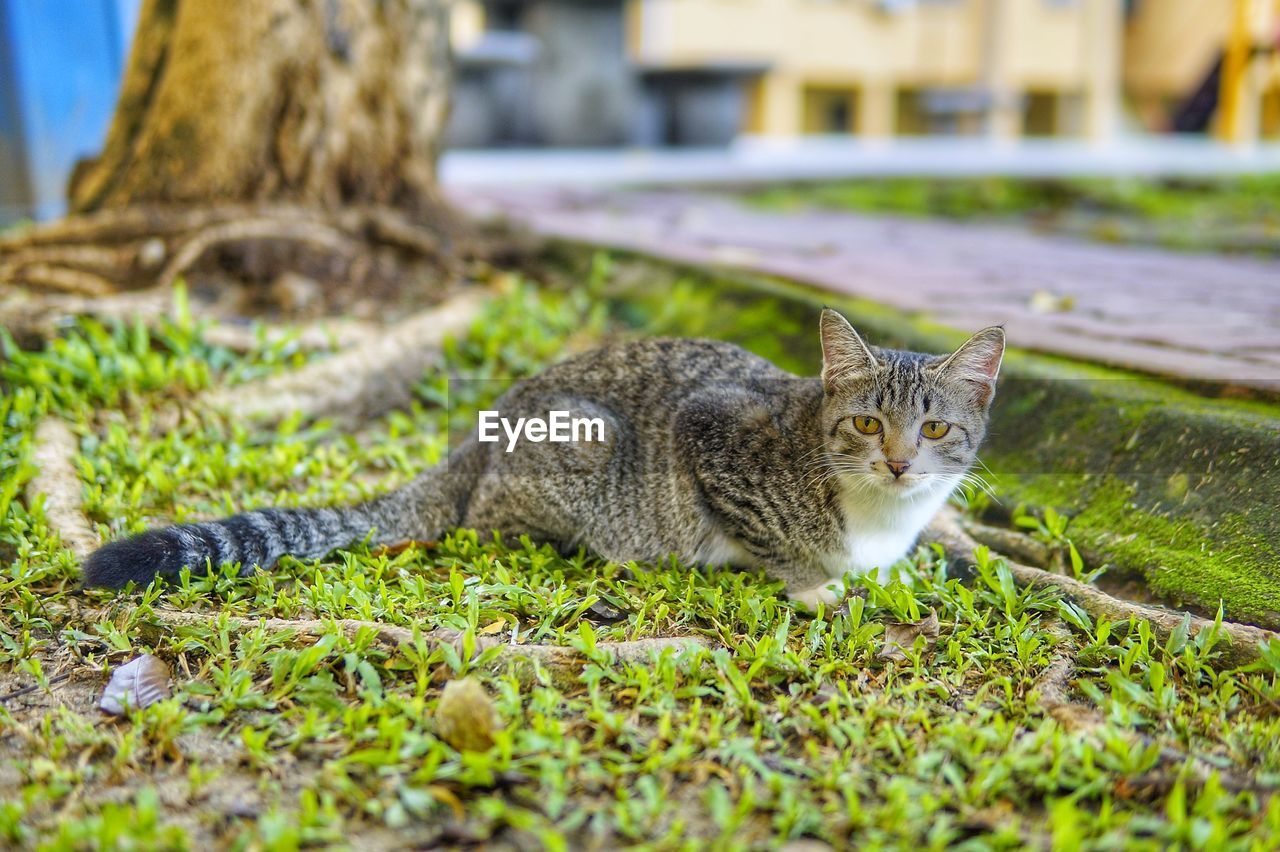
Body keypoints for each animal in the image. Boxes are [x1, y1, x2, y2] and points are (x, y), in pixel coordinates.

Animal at [80, 307, 1003, 603]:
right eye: (866, 426)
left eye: (934, 431)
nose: (898, 464)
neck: (879, 516)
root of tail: (483, 427)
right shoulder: (710, 430)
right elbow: (776, 543)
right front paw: (814, 583)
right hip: (586, 442)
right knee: (485, 518)